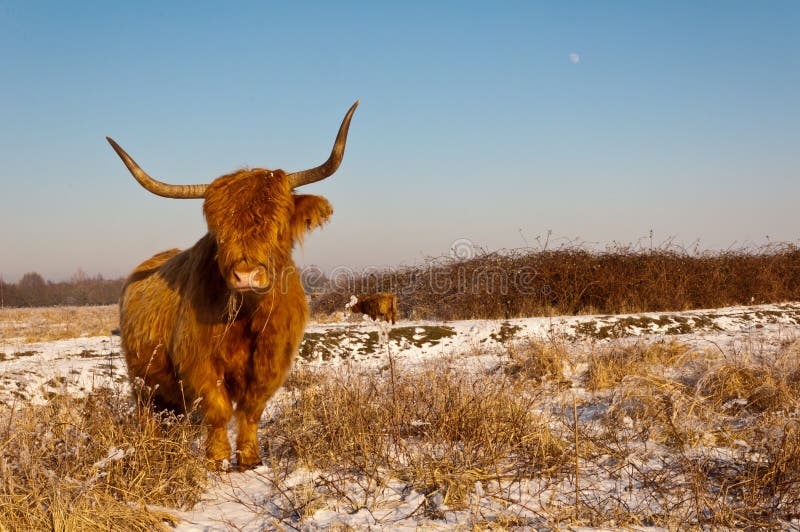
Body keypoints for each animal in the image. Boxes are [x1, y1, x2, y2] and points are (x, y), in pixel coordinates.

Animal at [107, 101, 359, 470]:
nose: (247, 276)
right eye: (218, 229)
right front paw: (217, 459)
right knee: (148, 411)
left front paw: (250, 458)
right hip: (141, 379)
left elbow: (251, 411)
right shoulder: (198, 363)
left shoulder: (271, 362)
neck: (247, 316)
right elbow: (218, 409)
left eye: (279, 226)